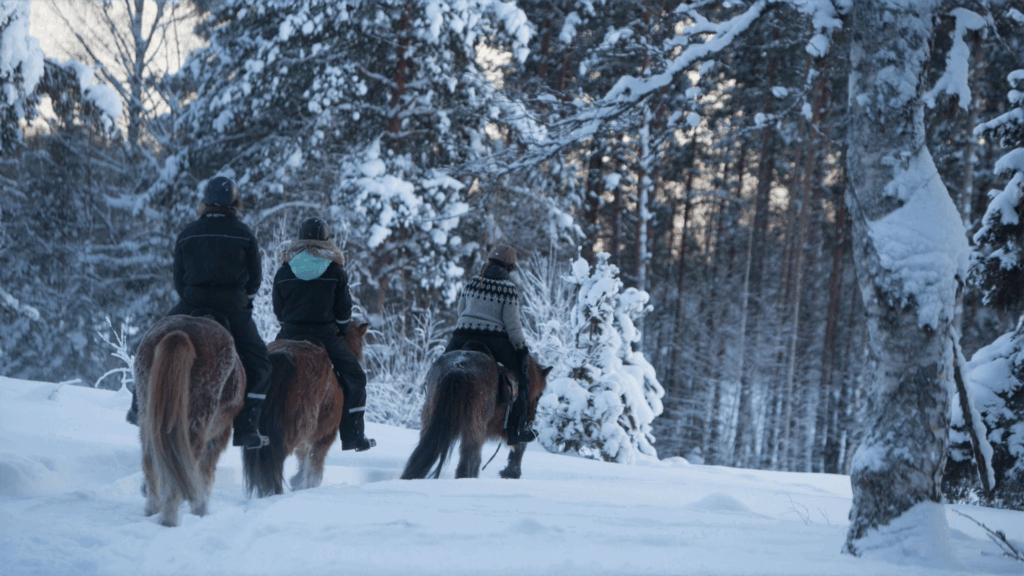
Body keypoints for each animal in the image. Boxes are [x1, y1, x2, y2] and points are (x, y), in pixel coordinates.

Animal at [134, 314, 245, 527]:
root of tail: (179, 333)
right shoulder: (218, 436)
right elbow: (205, 474)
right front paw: (200, 511)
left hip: (147, 417)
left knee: (151, 463)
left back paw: (153, 510)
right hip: (196, 423)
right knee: (183, 468)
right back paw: (170, 519)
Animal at [242, 322, 370, 497]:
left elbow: (304, 458)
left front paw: (297, 481)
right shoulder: (324, 436)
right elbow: (314, 464)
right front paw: (305, 484)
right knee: (276, 456)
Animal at [401, 348, 551, 480]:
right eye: (539, 396)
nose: (531, 418)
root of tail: (458, 367)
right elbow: (519, 447)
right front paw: (511, 473)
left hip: (431, 417)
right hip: (474, 427)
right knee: (470, 458)